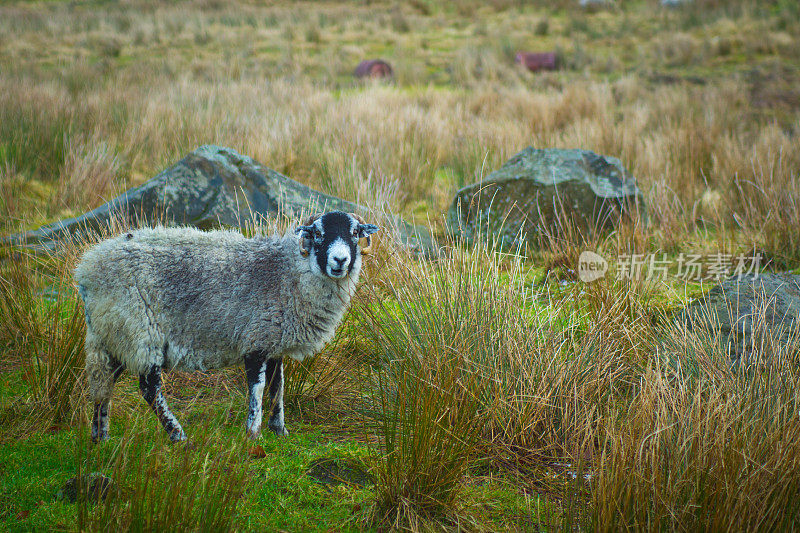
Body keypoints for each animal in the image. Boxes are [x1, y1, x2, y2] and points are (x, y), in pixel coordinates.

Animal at [73, 210, 380, 442]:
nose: (339, 260)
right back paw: (177, 434)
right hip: (138, 330)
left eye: (355, 233)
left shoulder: (274, 340)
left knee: (103, 382)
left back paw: (100, 436)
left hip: (111, 333)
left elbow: (278, 386)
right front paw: (253, 433)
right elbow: (257, 388)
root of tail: (87, 268)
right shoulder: (256, 340)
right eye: (317, 234)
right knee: (149, 388)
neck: (288, 274)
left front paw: (279, 429)